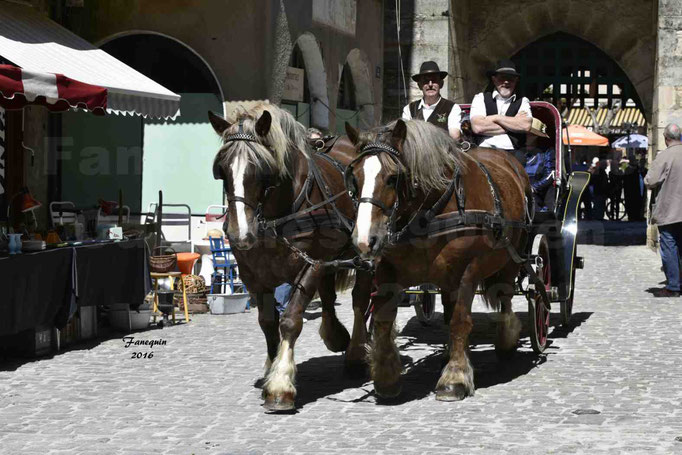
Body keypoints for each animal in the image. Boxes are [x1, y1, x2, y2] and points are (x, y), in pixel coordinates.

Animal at [209, 104, 372, 414]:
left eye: (261, 170)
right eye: (221, 170)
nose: (239, 233)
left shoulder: (311, 263)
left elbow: (290, 320)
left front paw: (280, 385)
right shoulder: (253, 274)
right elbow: (267, 324)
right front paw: (270, 370)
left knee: (360, 300)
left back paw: (356, 354)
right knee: (329, 296)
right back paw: (336, 336)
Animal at [346, 119, 532, 400]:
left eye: (392, 178)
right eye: (355, 178)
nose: (365, 240)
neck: (430, 213)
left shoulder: (468, 271)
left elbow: (460, 321)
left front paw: (455, 377)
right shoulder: (387, 271)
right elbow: (384, 319)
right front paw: (386, 376)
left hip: (511, 258)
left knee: (506, 297)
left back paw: (506, 340)